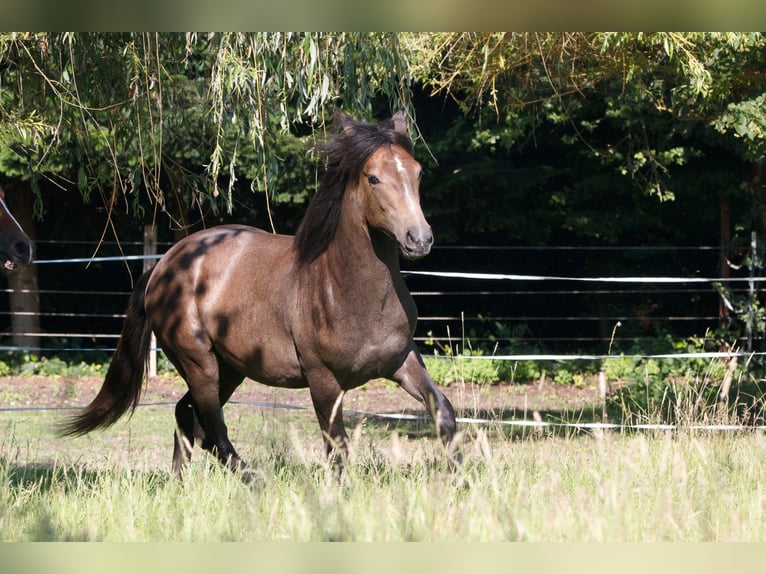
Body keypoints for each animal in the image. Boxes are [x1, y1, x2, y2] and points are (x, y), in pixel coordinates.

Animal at [60, 111, 459, 479]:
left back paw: (179, 484)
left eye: (417, 172)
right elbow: (338, 447)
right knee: (213, 431)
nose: (419, 238)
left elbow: (444, 414)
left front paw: (457, 480)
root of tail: (163, 266)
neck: (346, 290)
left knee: (186, 417)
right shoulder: (323, 380)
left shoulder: (402, 361)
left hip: (230, 369)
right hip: (200, 365)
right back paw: (254, 479)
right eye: (373, 178)